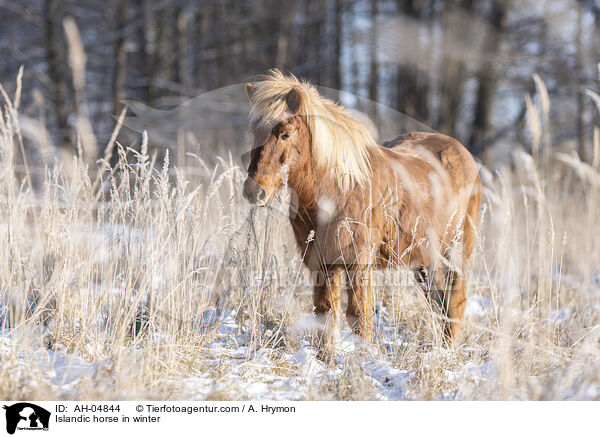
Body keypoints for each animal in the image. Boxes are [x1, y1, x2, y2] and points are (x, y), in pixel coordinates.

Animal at [241, 69, 480, 358]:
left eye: (285, 134)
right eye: (254, 131)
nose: (254, 191)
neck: (339, 188)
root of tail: (463, 153)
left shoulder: (359, 263)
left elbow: (359, 315)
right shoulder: (322, 264)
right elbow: (326, 314)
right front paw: (325, 361)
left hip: (457, 250)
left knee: (455, 301)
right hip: (424, 260)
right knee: (440, 302)